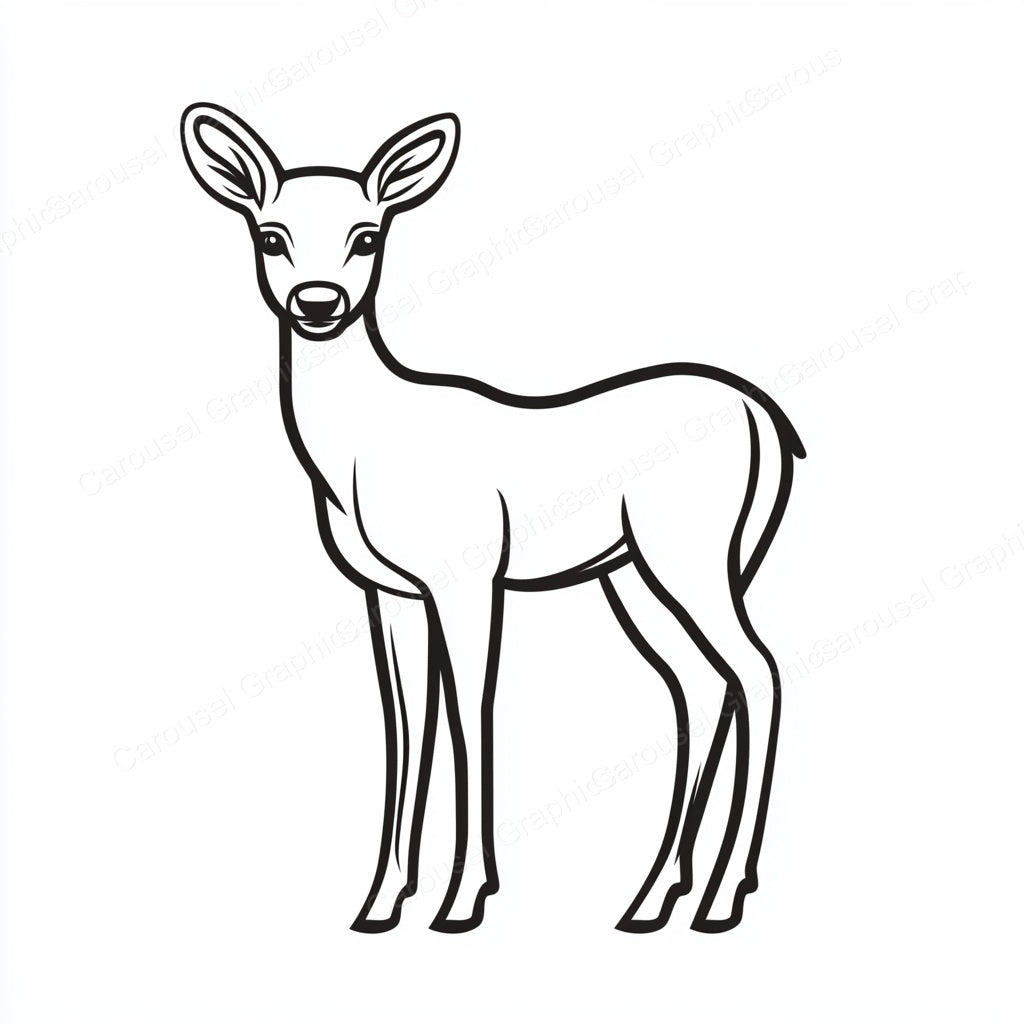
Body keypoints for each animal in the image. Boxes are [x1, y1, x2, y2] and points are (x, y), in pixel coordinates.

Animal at [181, 102, 806, 934]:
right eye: (270, 234)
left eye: (367, 235)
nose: (318, 303)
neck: (360, 449)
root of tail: (766, 418)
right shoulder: (390, 592)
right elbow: (405, 722)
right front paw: (381, 902)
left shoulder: (469, 575)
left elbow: (470, 707)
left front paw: (463, 898)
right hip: (632, 574)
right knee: (702, 685)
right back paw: (651, 899)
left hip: (689, 553)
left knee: (757, 671)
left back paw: (722, 897)